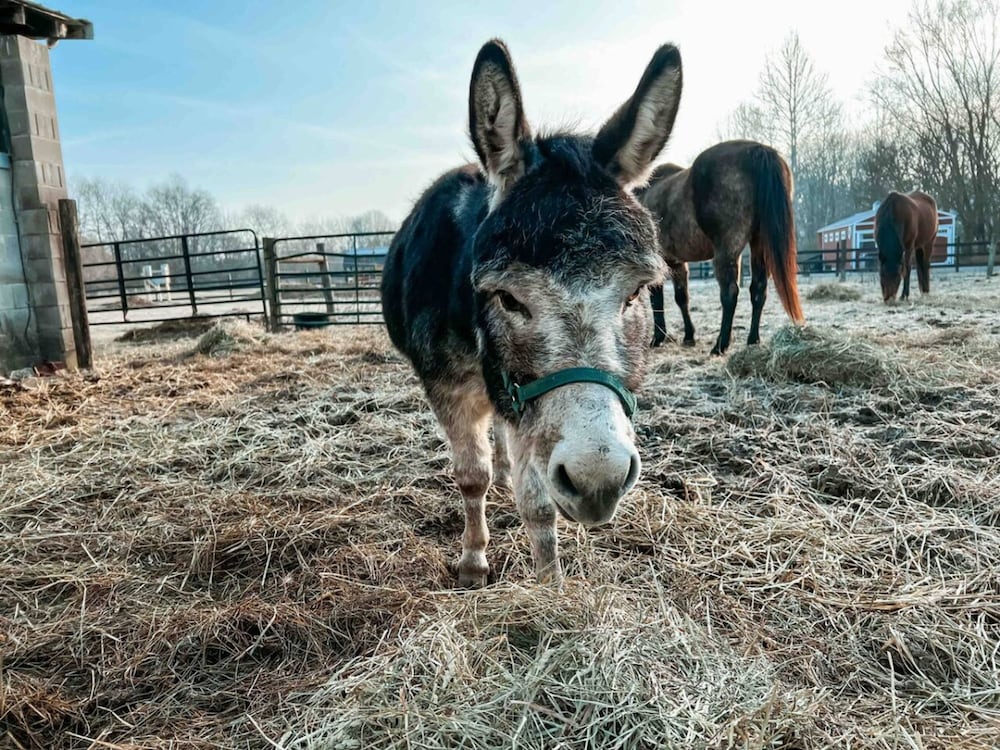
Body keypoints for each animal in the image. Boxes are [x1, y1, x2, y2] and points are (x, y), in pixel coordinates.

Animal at [380, 39, 682, 586]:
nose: (597, 480)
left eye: (636, 292)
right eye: (508, 298)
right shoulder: (448, 388)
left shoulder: (526, 410)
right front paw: (474, 561)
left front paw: (551, 585)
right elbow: (470, 478)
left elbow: (538, 503)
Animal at [636, 140, 804, 355]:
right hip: (759, 246)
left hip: (727, 251)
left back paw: (720, 345)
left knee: (730, 293)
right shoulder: (677, 263)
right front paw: (688, 336)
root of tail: (758, 150)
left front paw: (658, 338)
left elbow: (657, 300)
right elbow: (682, 297)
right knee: (758, 290)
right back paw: (753, 341)